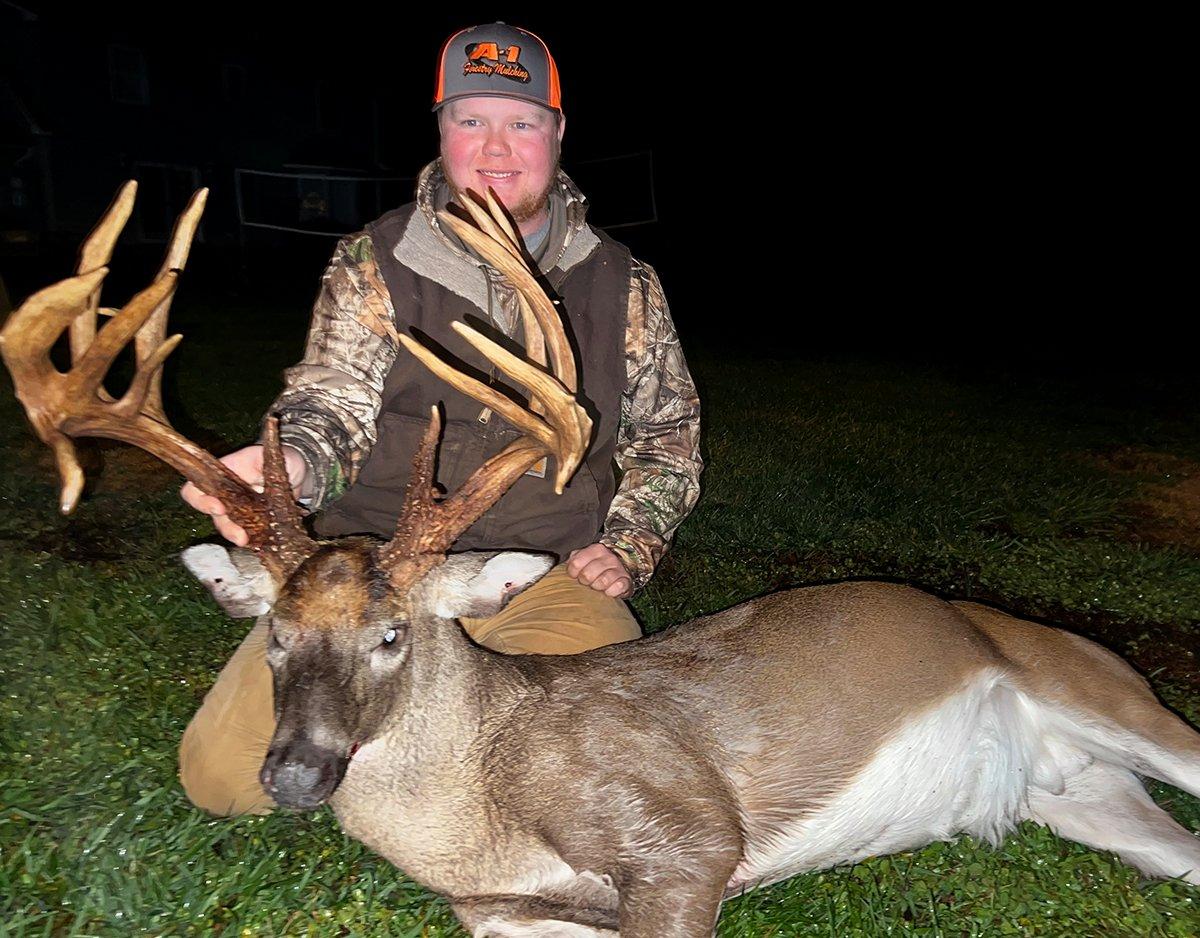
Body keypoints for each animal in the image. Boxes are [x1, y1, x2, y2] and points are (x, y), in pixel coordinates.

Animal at [3, 182, 1198, 938]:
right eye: (274, 634)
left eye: (393, 632)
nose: (293, 774)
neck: (478, 808)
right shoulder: (501, 910)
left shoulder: (685, 832)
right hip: (1086, 797)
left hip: (1111, 695)